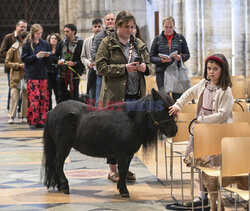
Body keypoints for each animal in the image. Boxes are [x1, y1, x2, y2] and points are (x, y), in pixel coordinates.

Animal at [42, 89, 177, 198]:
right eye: (162, 108)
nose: (174, 130)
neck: (131, 121)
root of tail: (52, 112)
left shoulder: (129, 155)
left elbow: (125, 171)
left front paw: (121, 187)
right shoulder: (122, 154)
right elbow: (122, 170)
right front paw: (124, 191)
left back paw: (60, 186)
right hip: (63, 147)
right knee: (58, 164)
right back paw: (65, 186)